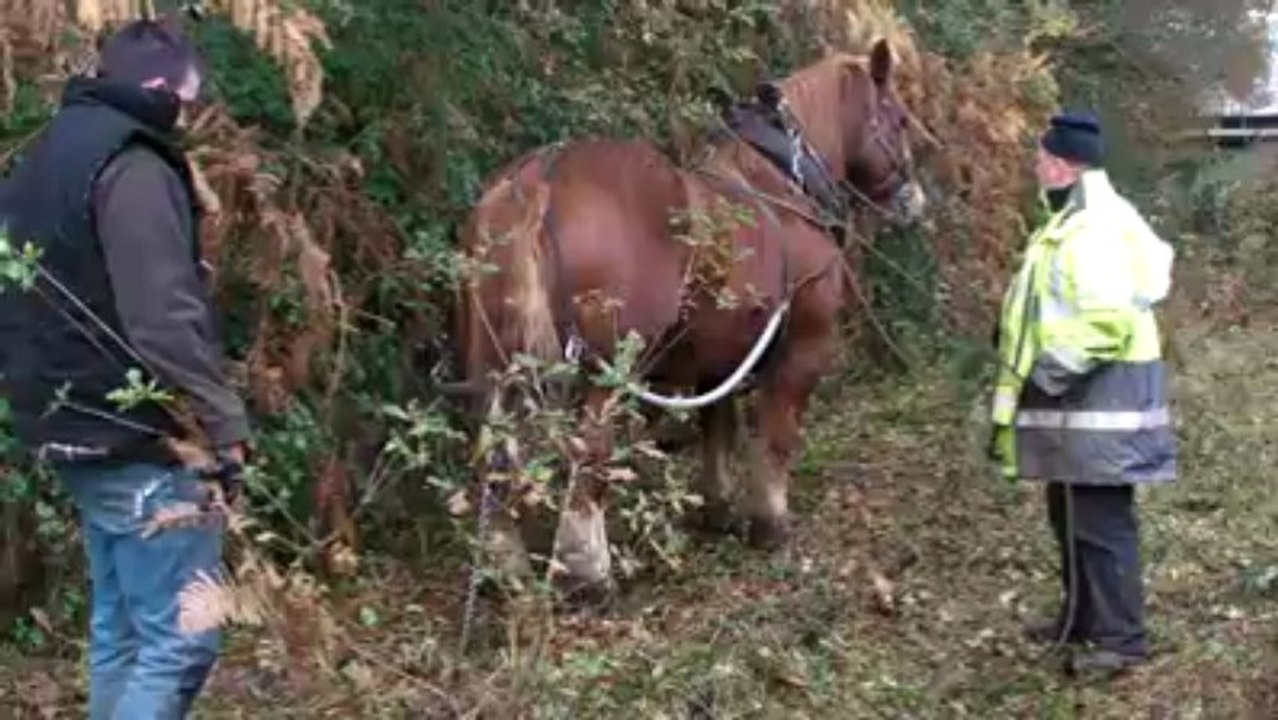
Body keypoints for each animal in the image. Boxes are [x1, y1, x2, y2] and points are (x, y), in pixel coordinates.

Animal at [454, 39, 925, 598]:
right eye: (898, 119)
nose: (916, 200)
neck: (783, 184)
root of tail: (537, 183)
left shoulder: (719, 358)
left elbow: (717, 429)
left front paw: (718, 509)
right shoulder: (803, 352)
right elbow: (776, 438)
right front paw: (771, 523)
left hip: (497, 361)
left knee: (494, 453)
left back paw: (505, 569)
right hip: (607, 368)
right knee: (589, 453)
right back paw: (589, 573)